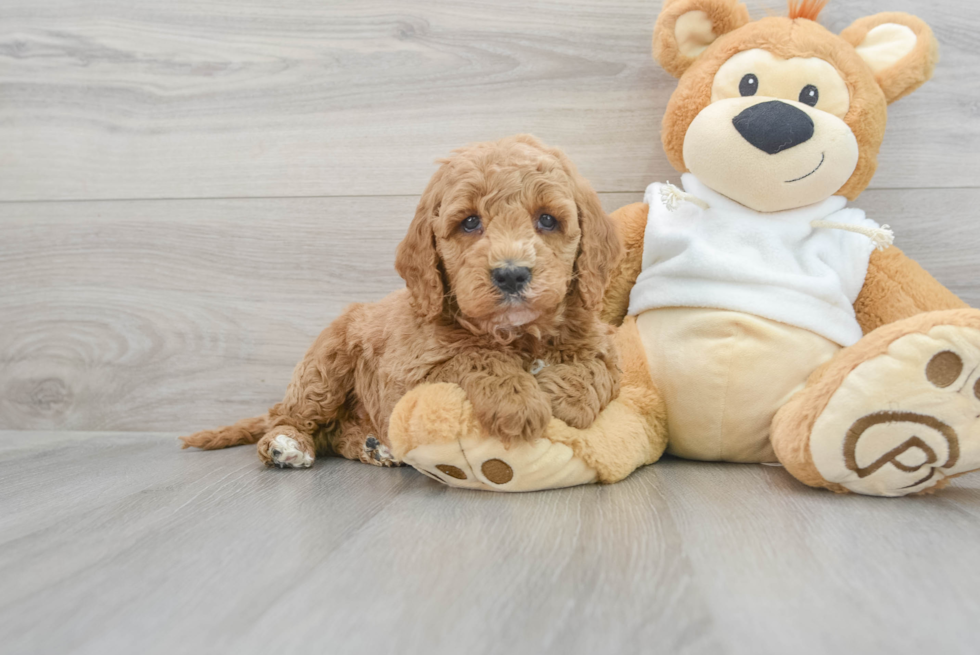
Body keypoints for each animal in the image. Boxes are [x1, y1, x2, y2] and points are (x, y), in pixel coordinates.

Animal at [182, 136, 620, 468]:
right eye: (470, 222)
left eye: (547, 220)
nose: (511, 274)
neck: (516, 333)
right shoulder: (409, 374)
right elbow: (473, 356)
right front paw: (518, 400)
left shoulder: (599, 342)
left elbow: (598, 371)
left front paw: (558, 393)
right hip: (323, 368)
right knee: (289, 415)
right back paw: (286, 445)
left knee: (332, 433)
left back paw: (372, 445)